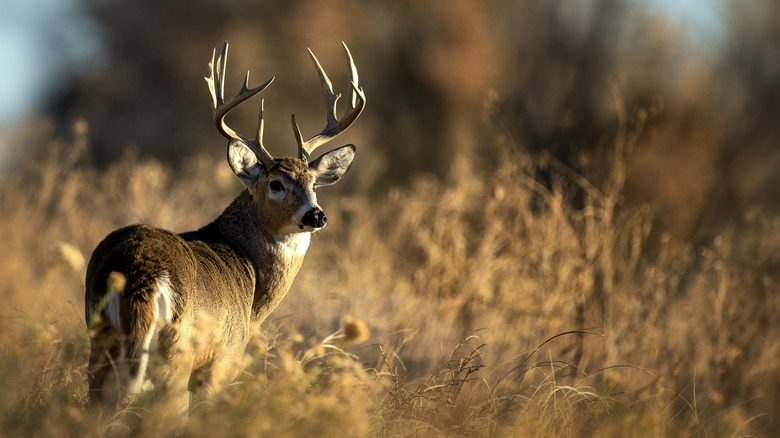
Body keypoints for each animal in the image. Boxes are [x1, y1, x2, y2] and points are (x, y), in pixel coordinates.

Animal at [84, 41, 365, 415]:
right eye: (276, 184)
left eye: (314, 184)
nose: (316, 216)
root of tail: (141, 273)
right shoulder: (224, 358)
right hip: (176, 355)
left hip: (99, 340)